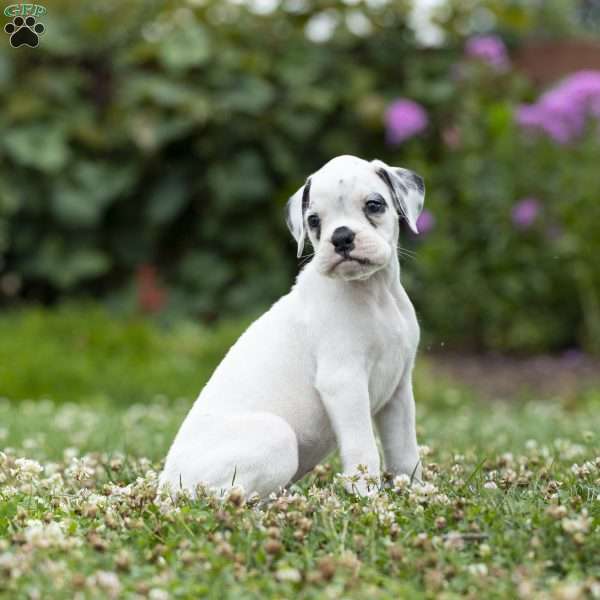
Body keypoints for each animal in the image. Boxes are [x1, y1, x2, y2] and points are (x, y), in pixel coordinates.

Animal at [157, 154, 424, 496]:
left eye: (374, 205)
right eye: (314, 220)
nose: (341, 237)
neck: (375, 294)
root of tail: (165, 484)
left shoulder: (398, 390)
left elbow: (405, 452)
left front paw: (416, 492)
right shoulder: (345, 382)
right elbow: (363, 449)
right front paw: (366, 496)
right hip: (276, 436)